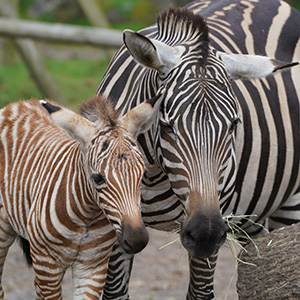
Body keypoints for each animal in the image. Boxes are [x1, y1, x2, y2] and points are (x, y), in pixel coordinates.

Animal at [0, 92, 163, 298]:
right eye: (98, 178)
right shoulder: (47, 266)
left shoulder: (93, 267)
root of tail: (22, 103)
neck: (86, 217)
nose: (137, 240)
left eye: (142, 175)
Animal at [96, 1, 300, 298]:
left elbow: (200, 292)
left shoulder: (217, 213)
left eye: (234, 124)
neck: (153, 174)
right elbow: (113, 291)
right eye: (166, 125)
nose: (205, 234)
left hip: (288, 206)